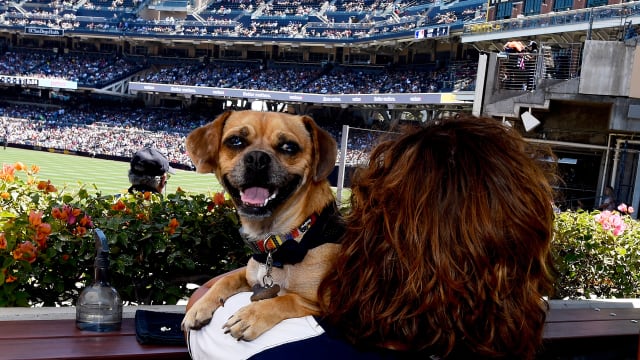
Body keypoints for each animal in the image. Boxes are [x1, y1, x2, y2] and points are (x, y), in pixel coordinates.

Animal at [181, 109, 340, 340]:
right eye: (235, 141)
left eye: (289, 147)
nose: (257, 158)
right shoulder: (248, 276)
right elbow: (225, 280)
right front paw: (200, 307)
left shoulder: (329, 307)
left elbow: (287, 298)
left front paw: (251, 315)